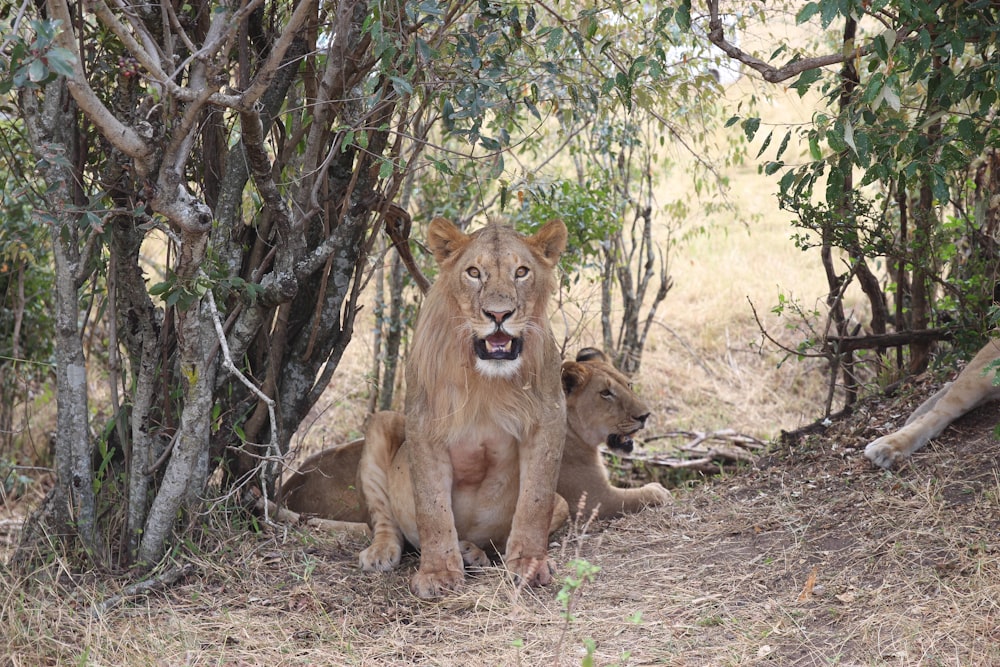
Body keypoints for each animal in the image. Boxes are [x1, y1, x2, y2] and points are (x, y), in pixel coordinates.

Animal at [278, 350, 672, 532]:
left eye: (627, 383)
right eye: (606, 394)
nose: (645, 415)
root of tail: (288, 485)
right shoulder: (594, 499)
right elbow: (645, 493)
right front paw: (661, 491)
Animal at [360, 219, 572, 600]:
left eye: (521, 272)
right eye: (474, 272)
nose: (499, 315)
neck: (486, 377)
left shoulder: (549, 416)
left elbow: (535, 502)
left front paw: (529, 565)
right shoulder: (424, 423)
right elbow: (432, 508)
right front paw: (438, 573)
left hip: (561, 504)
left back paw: (473, 552)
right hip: (381, 423)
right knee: (386, 519)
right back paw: (382, 552)